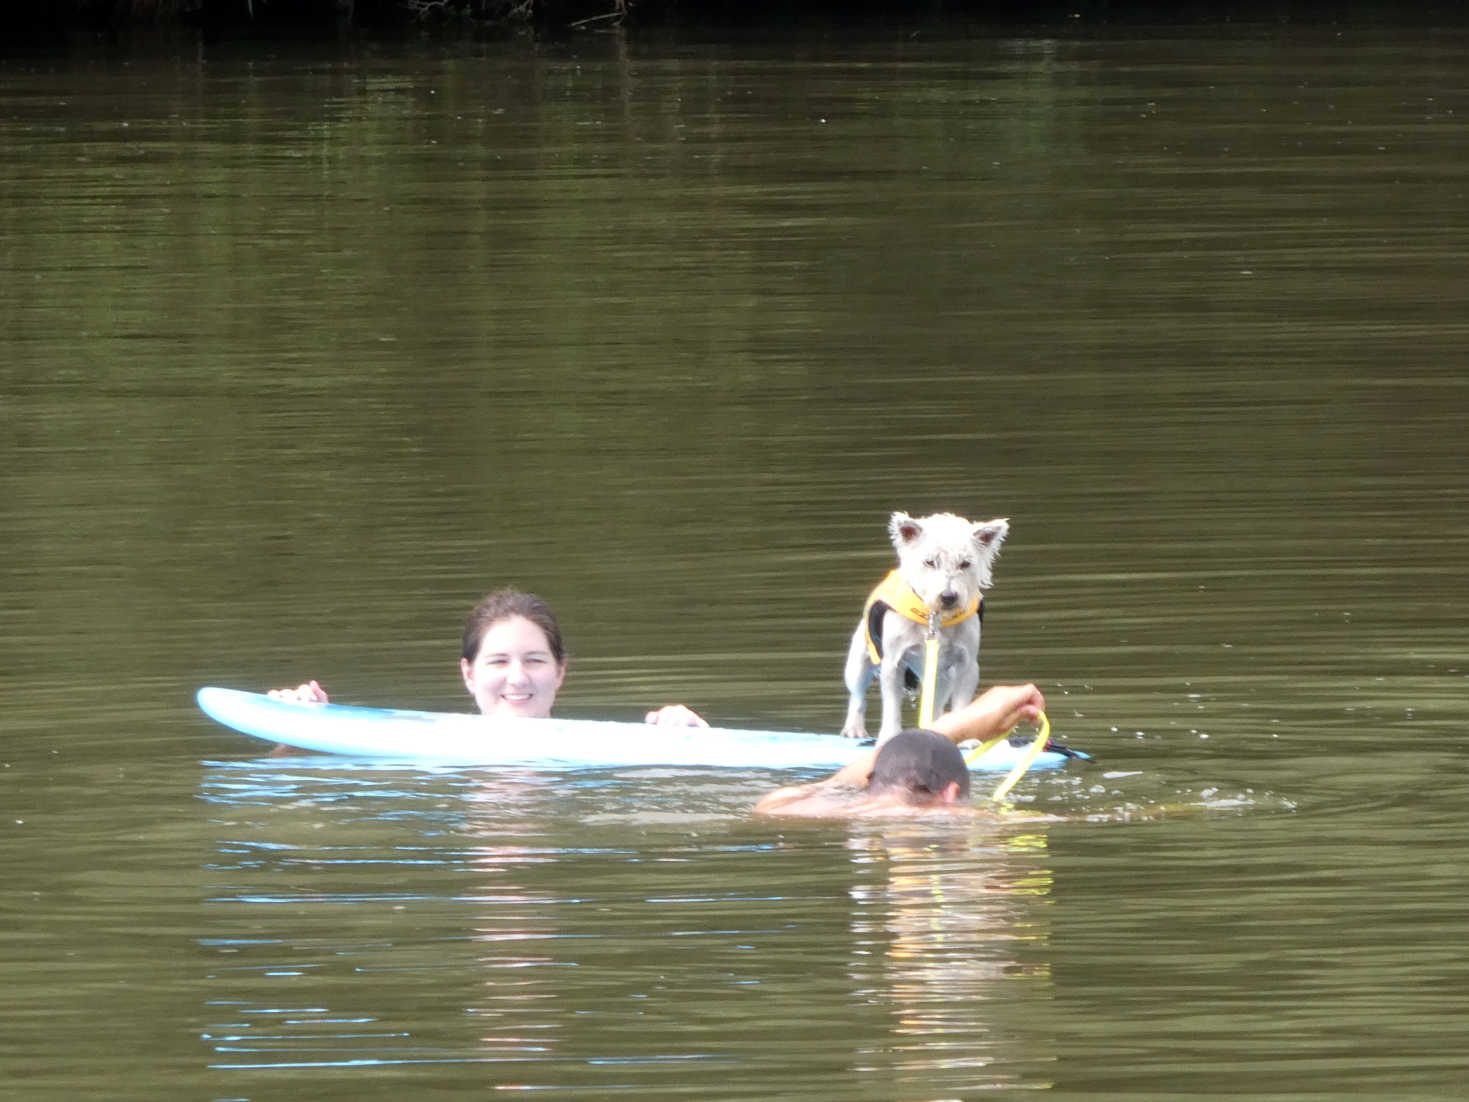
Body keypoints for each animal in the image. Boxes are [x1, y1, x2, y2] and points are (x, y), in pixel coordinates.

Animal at [840, 517, 1010, 743]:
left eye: (965, 563)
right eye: (929, 562)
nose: (948, 597)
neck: (935, 618)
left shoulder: (967, 665)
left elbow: (962, 702)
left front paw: (967, 739)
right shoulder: (893, 664)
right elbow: (891, 706)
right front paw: (888, 737)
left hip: (943, 678)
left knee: (936, 705)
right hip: (858, 661)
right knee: (857, 695)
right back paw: (854, 728)